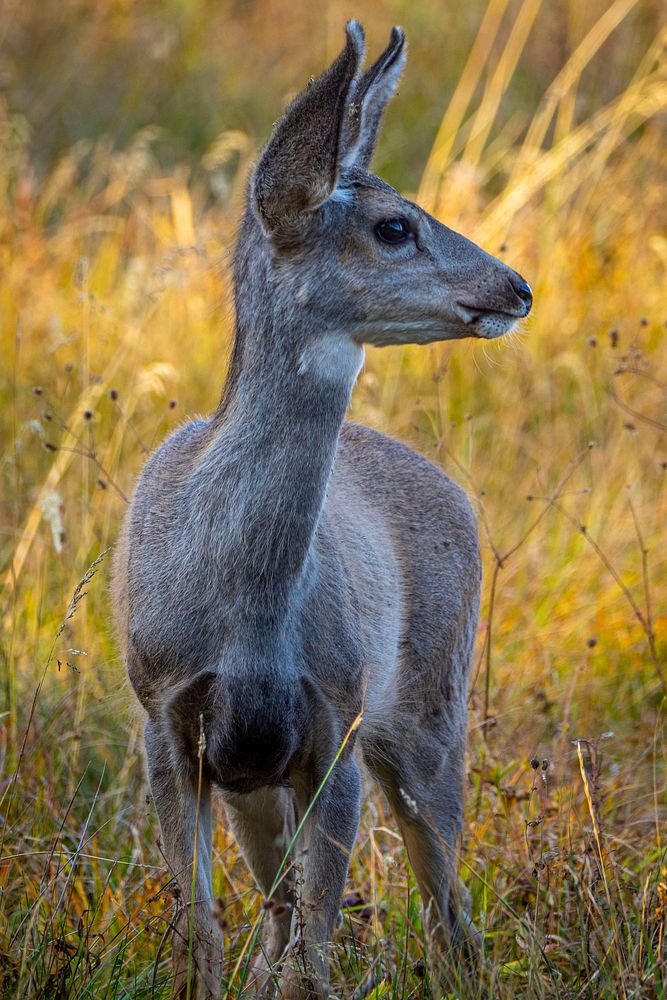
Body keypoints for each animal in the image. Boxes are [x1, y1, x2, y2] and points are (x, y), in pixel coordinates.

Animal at [111, 21, 532, 1000]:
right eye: (394, 226)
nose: (516, 287)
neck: (244, 610)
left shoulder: (335, 716)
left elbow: (317, 947)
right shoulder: (167, 717)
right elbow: (206, 932)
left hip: (429, 707)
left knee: (447, 908)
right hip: (261, 777)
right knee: (280, 917)